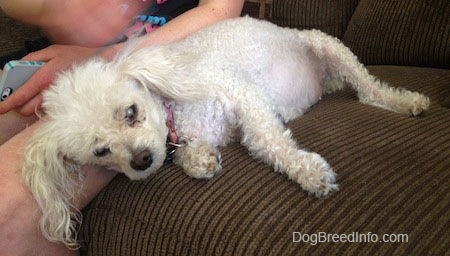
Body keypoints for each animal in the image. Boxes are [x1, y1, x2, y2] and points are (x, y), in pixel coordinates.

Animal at [21, 17, 428, 247]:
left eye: (131, 112)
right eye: (100, 152)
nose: (141, 161)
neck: (177, 112)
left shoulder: (242, 95)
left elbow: (267, 141)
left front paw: (308, 172)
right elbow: (194, 154)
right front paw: (199, 159)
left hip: (326, 44)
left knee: (369, 88)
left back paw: (405, 101)